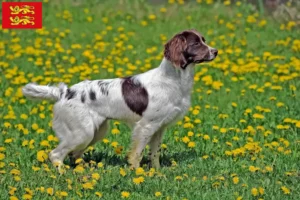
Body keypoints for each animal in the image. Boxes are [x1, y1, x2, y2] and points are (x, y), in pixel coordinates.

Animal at [21, 29, 218, 170]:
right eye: (196, 43)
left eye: (204, 40)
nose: (215, 51)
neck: (173, 79)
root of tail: (64, 92)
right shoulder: (145, 126)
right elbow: (137, 153)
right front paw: (137, 173)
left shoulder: (159, 128)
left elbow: (154, 154)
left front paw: (157, 173)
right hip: (82, 132)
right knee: (56, 154)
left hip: (96, 131)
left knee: (74, 155)